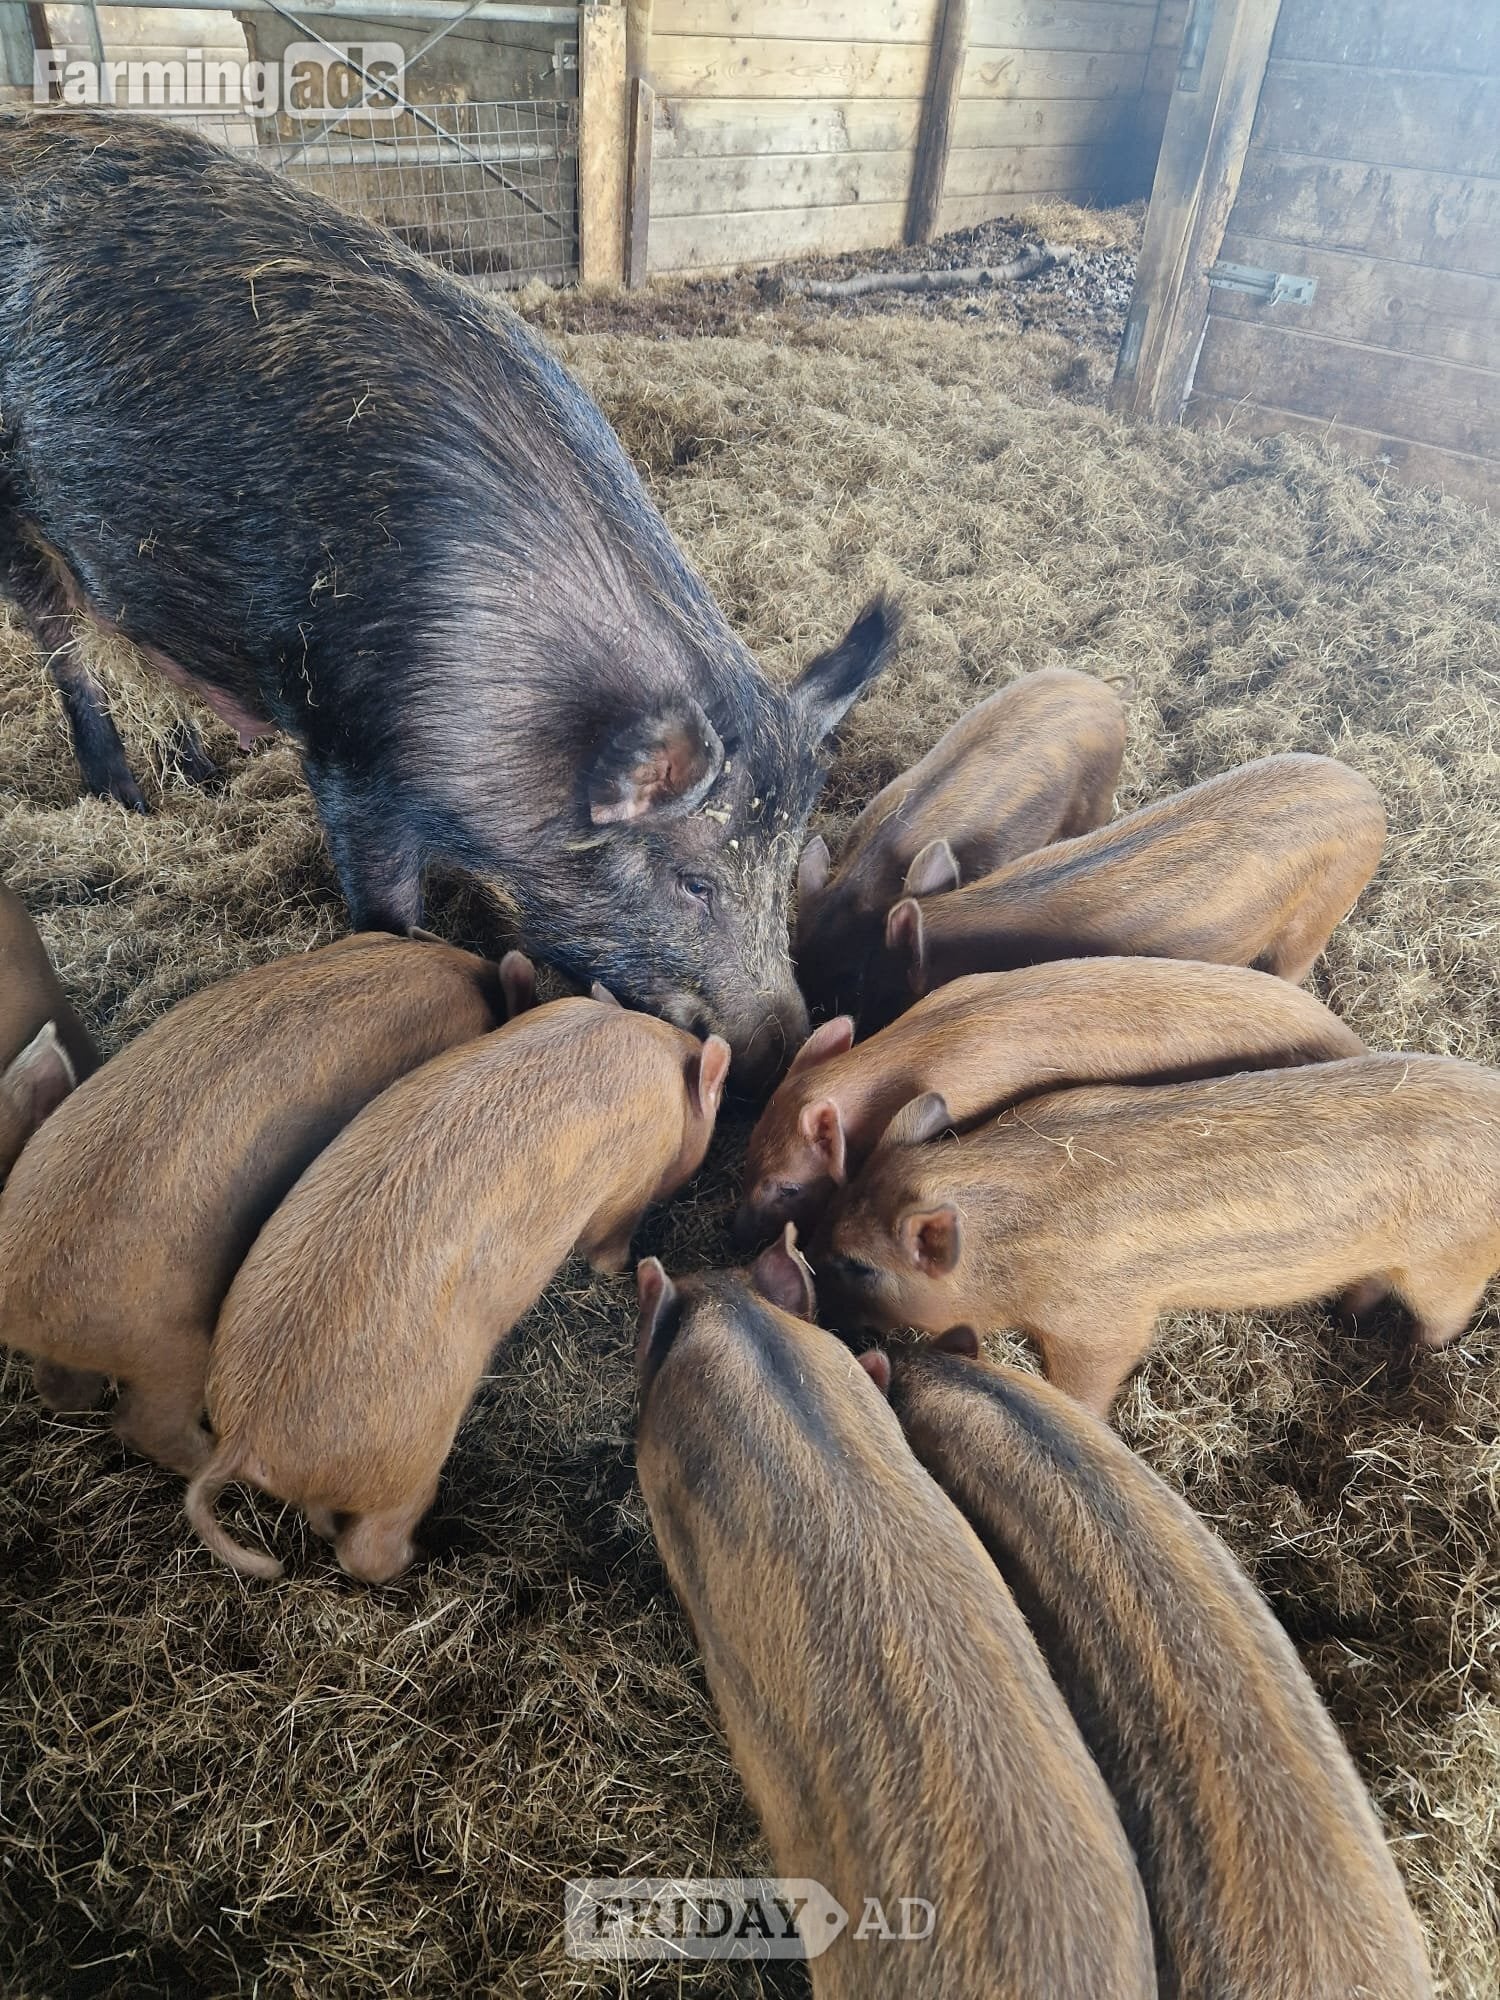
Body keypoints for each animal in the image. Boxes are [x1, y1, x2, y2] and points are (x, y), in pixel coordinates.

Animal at [0, 114, 896, 1092]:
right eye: (695, 882)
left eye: (783, 872)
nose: (793, 1037)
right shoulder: (352, 755)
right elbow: (387, 907)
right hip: (16, 515)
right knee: (62, 641)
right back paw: (122, 796)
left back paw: (195, 771)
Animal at [187, 997, 730, 1583]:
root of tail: (244, 1434)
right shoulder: (627, 1188)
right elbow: (607, 1245)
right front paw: (625, 1268)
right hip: (410, 1456)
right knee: (366, 1549)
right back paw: (425, 1555)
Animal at [815, 1052, 1500, 1415]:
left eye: (860, 1264)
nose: (819, 1304)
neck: (1006, 1246)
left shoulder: (1103, 1323)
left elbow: (1090, 1379)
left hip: (1449, 1264)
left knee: (1444, 1318)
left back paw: (1409, 1359)